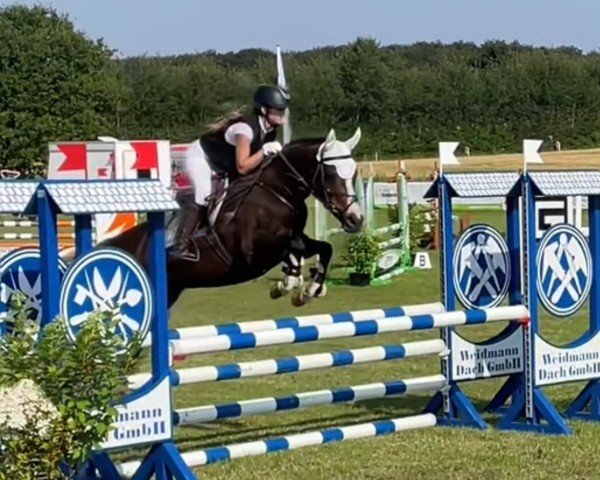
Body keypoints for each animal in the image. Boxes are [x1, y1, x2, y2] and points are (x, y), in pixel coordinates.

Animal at [101, 127, 364, 308]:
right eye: (330, 174)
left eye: (354, 173)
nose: (356, 220)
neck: (278, 192)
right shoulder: (253, 253)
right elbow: (293, 248)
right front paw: (289, 283)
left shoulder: (295, 236)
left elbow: (323, 248)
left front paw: (308, 289)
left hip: (170, 291)